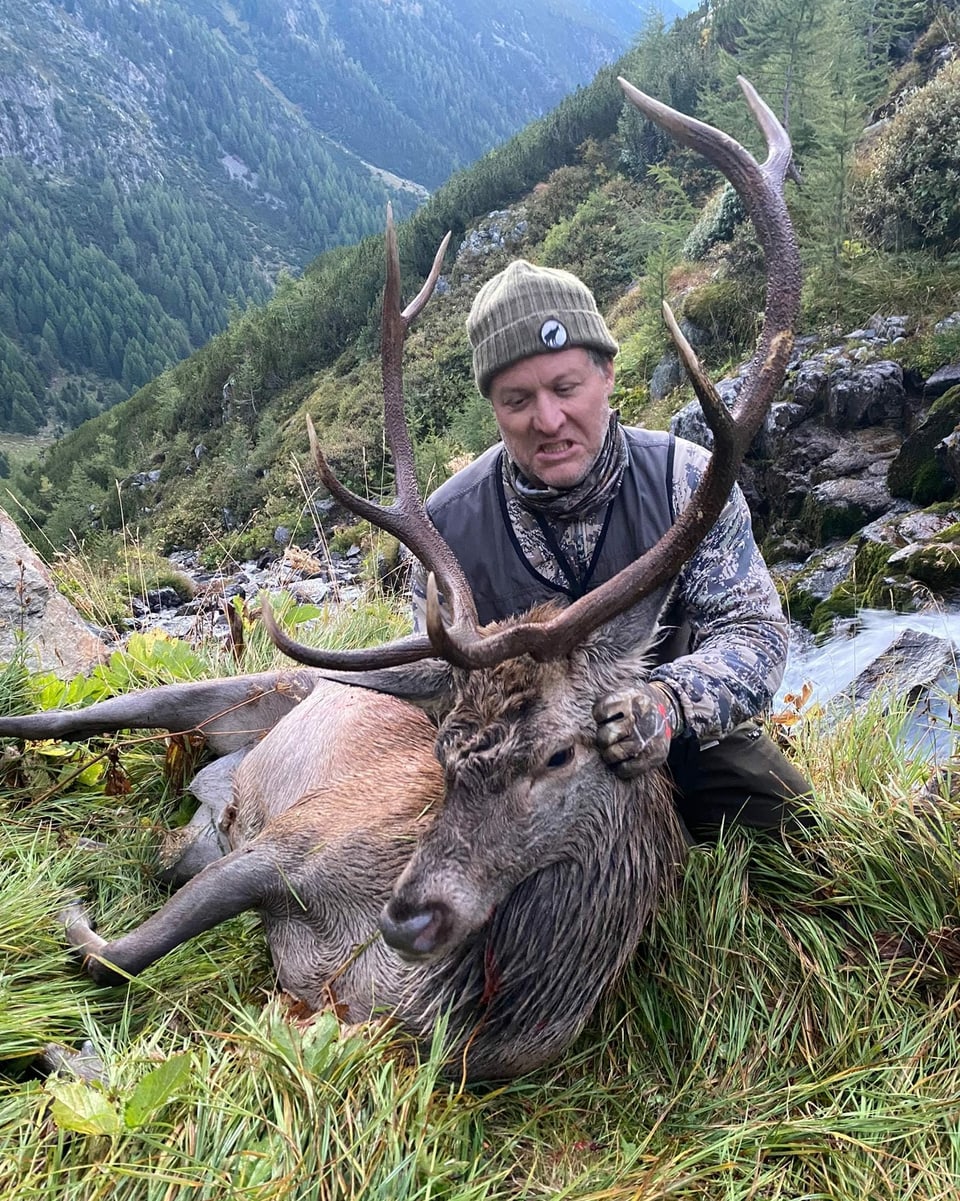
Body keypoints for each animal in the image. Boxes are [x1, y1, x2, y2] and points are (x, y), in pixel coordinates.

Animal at [0, 79, 797, 1085]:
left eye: (561, 754)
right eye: (445, 749)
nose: (409, 914)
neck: (423, 1002)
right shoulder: (294, 842)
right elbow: (113, 953)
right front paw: (65, 938)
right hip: (248, 686)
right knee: (80, 713)